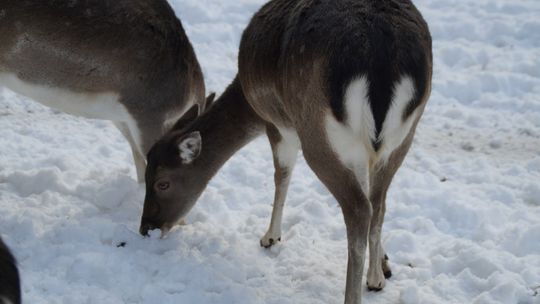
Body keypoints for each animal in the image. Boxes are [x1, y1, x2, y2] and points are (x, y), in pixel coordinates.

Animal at [138, 0, 430, 302]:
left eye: (162, 183)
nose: (146, 227)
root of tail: (381, 63)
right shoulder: (362, 152)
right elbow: (369, 191)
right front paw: (385, 263)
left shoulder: (277, 125)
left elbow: (282, 175)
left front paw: (269, 237)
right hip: (403, 137)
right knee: (377, 203)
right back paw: (375, 278)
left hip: (316, 136)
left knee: (359, 209)